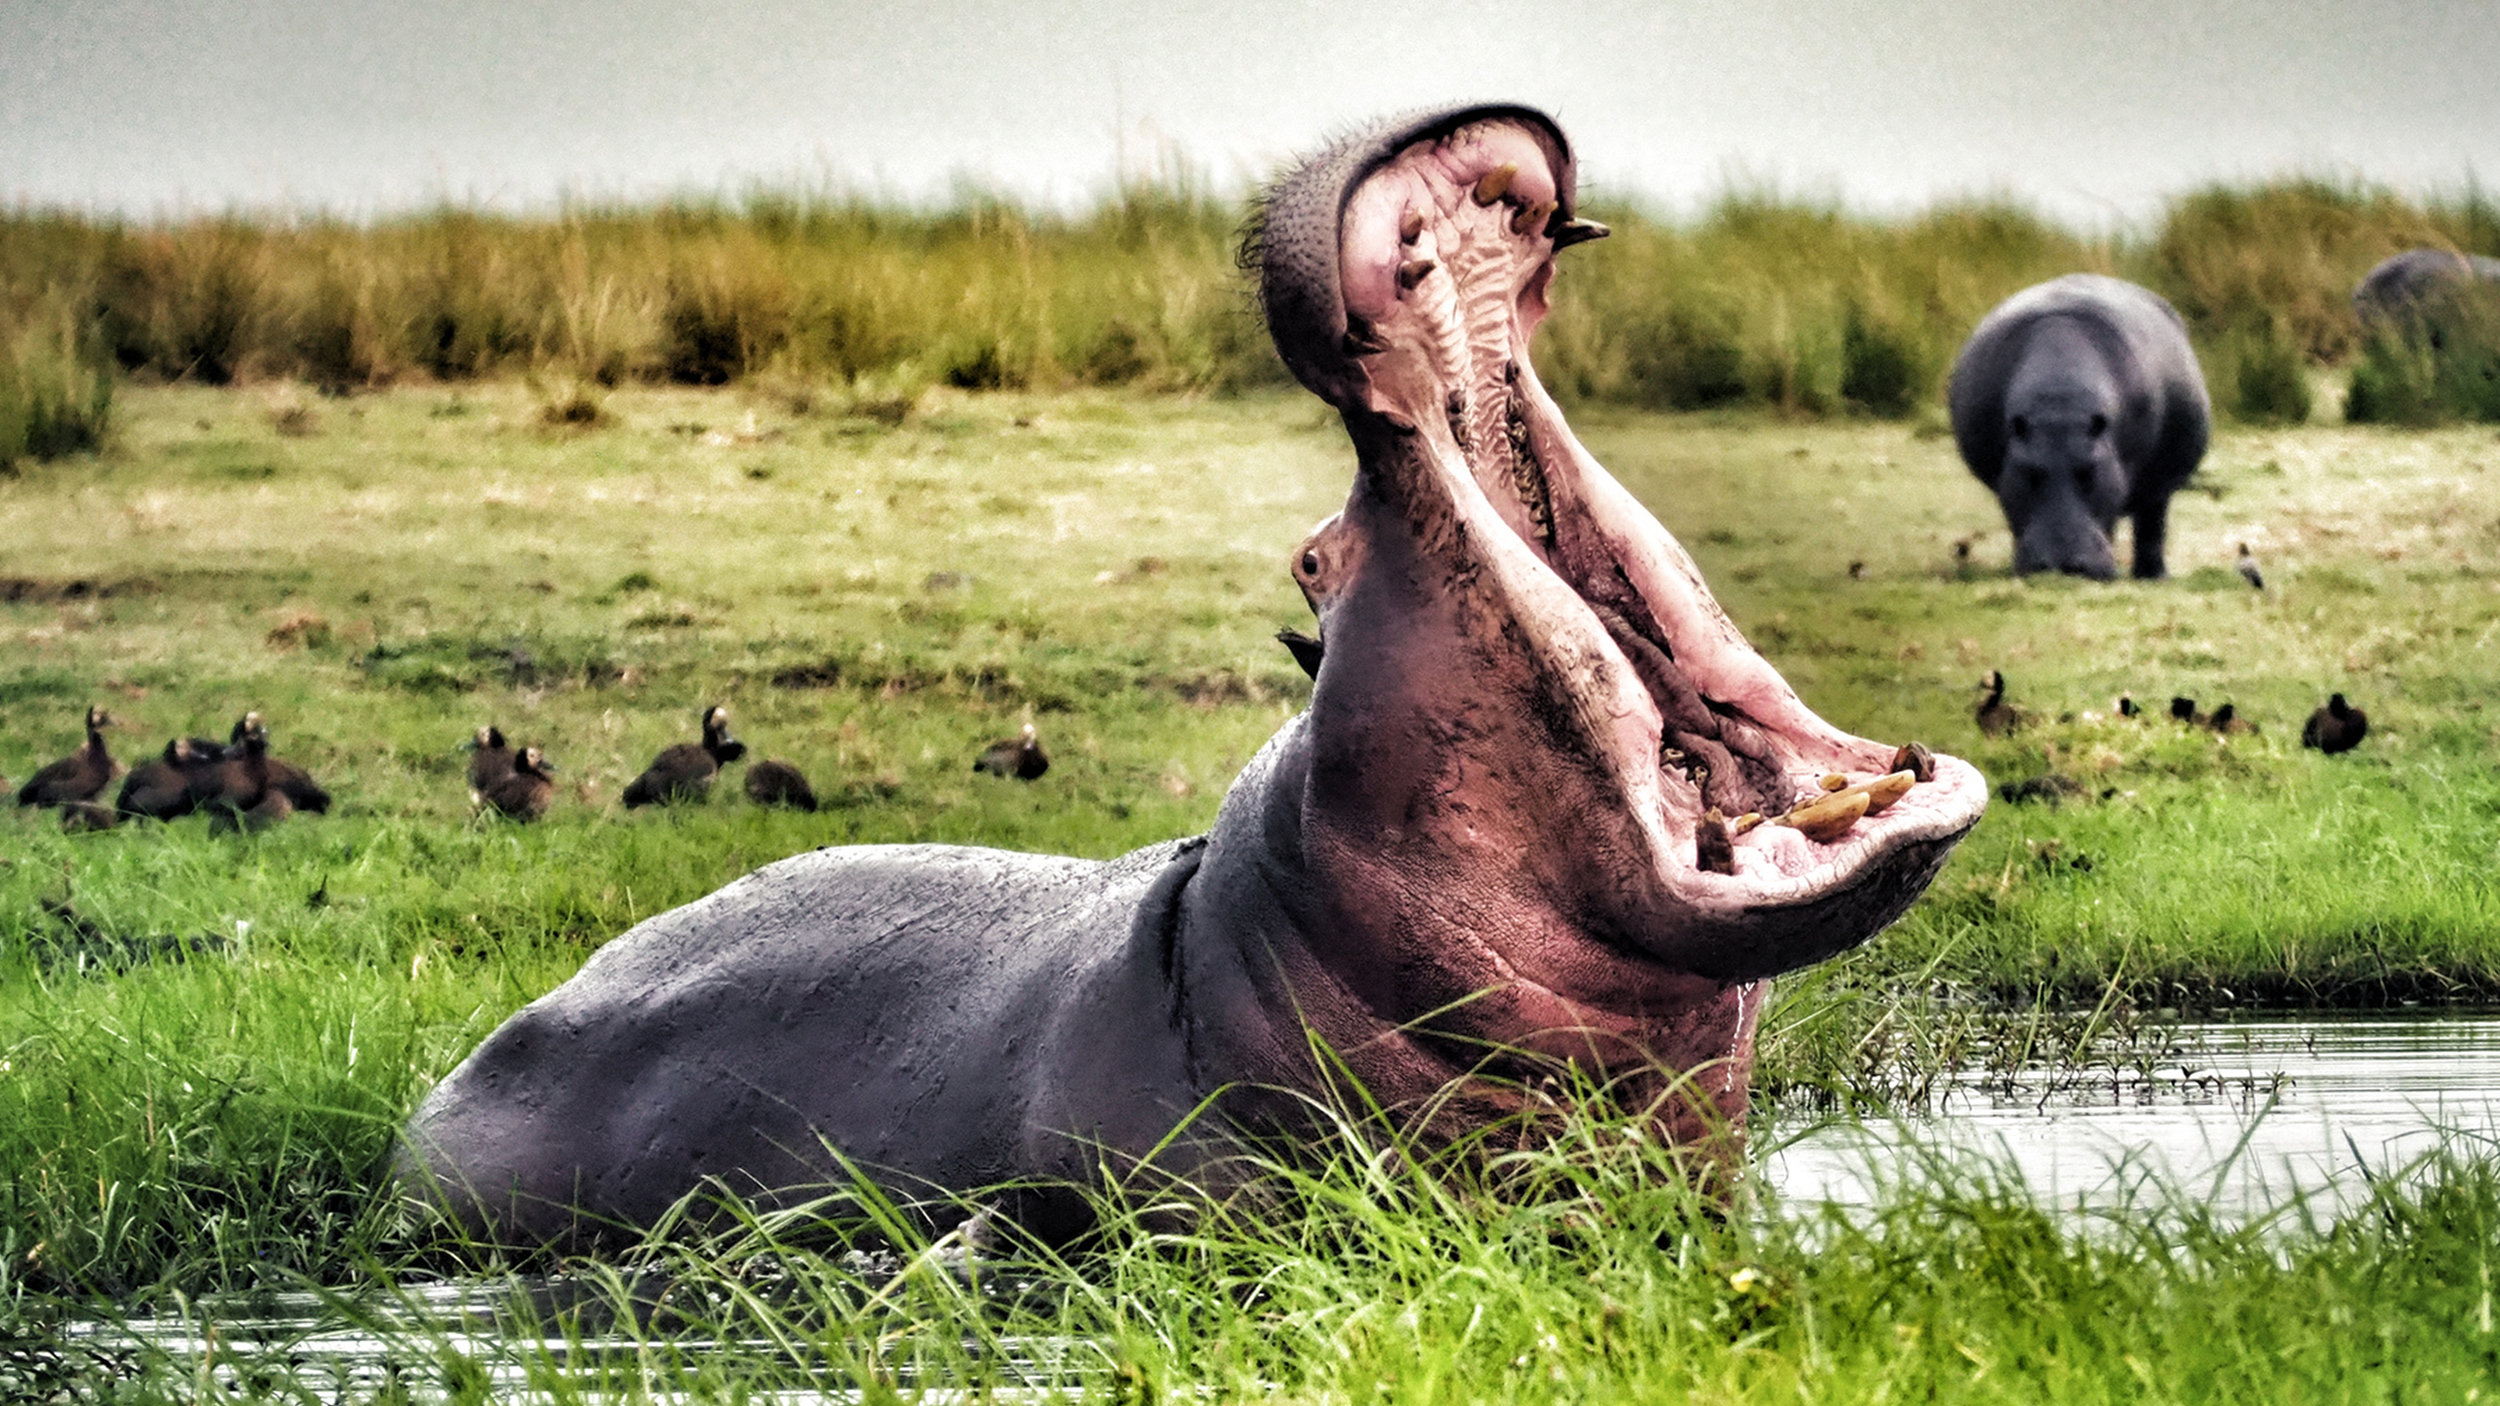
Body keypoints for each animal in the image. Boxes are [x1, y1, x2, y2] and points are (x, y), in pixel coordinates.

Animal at [1940, 271, 2220, 577]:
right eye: (2031, 473)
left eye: (2088, 472)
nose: (2062, 565)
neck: (2060, 399)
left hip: (2160, 486)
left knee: (2151, 523)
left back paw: (2153, 576)